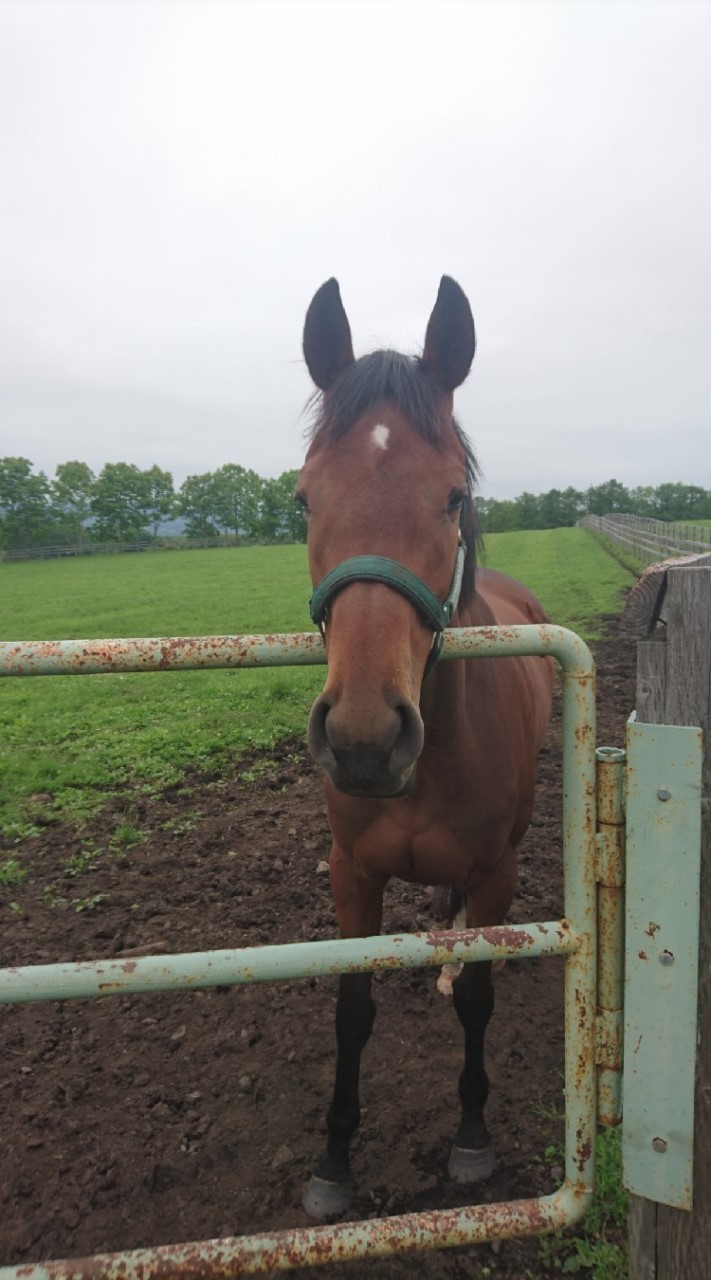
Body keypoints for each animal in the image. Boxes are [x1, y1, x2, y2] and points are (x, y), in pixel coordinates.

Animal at [294, 275, 555, 1213]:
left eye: (451, 497)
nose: (365, 738)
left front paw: (471, 1141)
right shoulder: (351, 873)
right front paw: (334, 1160)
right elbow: (351, 1010)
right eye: (302, 498)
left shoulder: (496, 872)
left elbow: (477, 998)